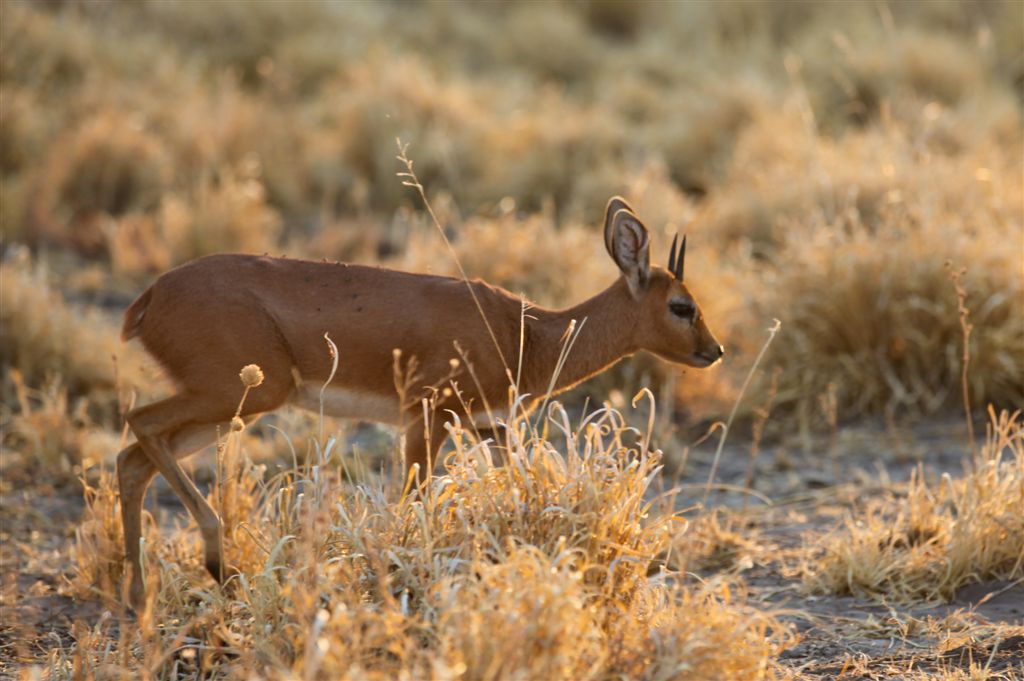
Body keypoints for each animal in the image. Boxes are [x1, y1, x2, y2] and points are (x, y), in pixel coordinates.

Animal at [116, 195, 724, 606]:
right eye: (682, 306)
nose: (714, 351)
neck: (528, 335)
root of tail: (150, 298)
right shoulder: (426, 418)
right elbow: (412, 502)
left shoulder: (491, 428)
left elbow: (514, 494)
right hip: (243, 394)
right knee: (137, 423)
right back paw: (217, 564)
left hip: (231, 407)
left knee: (132, 459)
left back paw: (142, 600)